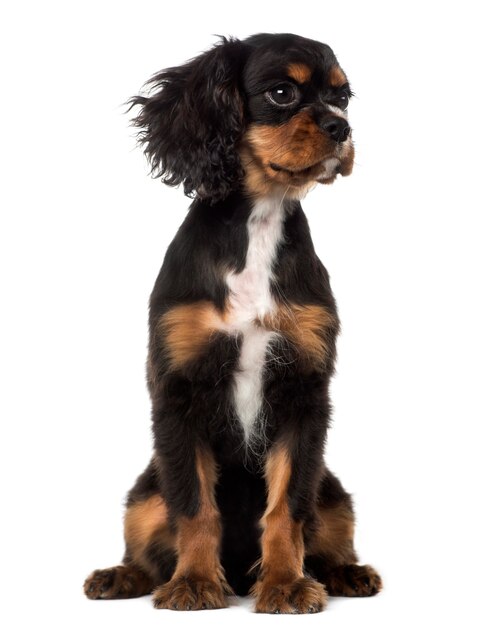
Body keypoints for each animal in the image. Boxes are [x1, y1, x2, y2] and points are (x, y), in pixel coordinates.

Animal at [82, 33, 382, 608]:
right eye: (282, 92)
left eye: (343, 98)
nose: (342, 128)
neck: (257, 224)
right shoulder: (179, 392)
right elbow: (195, 505)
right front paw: (194, 583)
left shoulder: (303, 391)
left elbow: (287, 506)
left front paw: (286, 584)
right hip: (145, 490)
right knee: (147, 542)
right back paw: (120, 576)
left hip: (333, 491)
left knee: (327, 525)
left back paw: (345, 573)